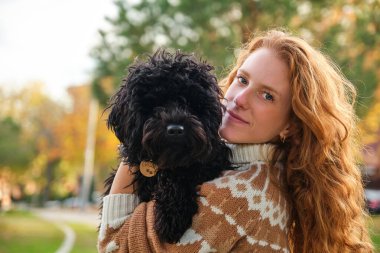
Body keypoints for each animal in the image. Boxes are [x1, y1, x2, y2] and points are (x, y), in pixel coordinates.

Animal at [105, 49, 233, 243]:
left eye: (190, 103)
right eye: (155, 103)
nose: (175, 130)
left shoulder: (213, 160)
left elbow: (182, 173)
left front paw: (171, 215)